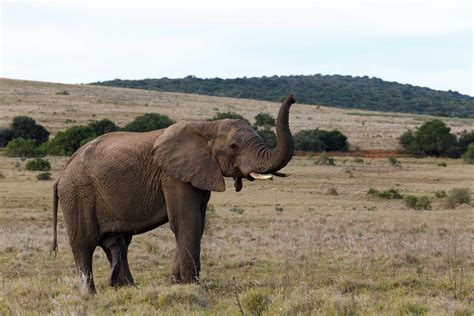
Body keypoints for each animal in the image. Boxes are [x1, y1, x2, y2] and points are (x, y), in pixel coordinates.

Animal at [51, 94, 296, 294]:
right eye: (234, 146)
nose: (292, 97)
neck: (207, 127)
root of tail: (61, 175)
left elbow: (196, 224)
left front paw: (177, 283)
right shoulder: (173, 176)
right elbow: (186, 222)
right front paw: (190, 285)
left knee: (120, 244)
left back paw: (127, 289)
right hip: (77, 193)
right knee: (83, 244)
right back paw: (89, 294)